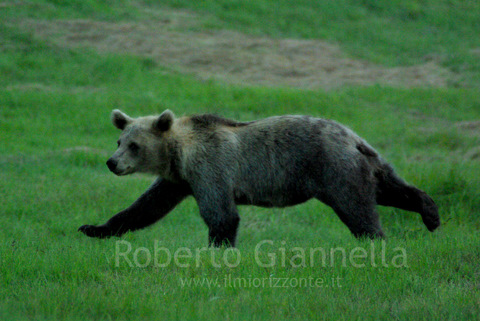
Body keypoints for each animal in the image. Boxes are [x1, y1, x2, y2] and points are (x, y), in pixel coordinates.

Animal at [78, 109, 438, 246]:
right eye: (119, 140)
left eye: (134, 145)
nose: (111, 162)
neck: (178, 154)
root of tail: (352, 137)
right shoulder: (178, 181)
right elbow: (144, 208)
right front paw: (93, 228)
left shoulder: (209, 170)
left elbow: (222, 215)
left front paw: (218, 248)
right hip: (363, 163)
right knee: (390, 188)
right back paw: (430, 213)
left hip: (333, 168)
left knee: (358, 208)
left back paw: (375, 240)